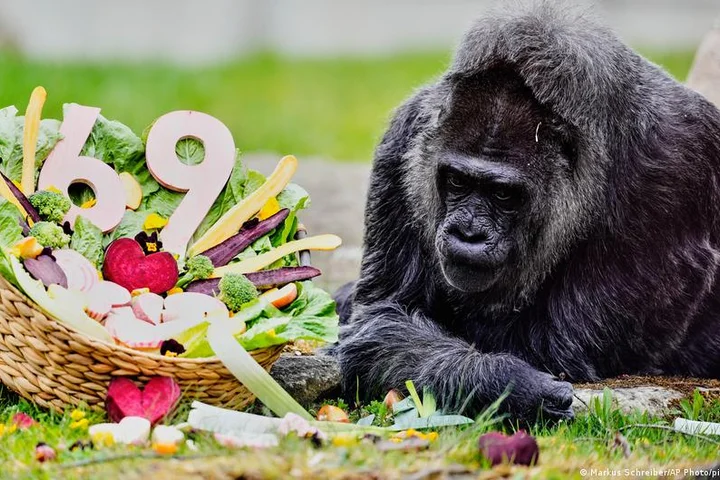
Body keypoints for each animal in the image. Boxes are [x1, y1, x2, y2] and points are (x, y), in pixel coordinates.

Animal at [332, 1, 720, 424]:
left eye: (503, 194)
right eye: (457, 181)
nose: (468, 233)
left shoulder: (673, 170)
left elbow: (555, 349)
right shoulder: (405, 137)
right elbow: (385, 315)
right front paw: (505, 383)